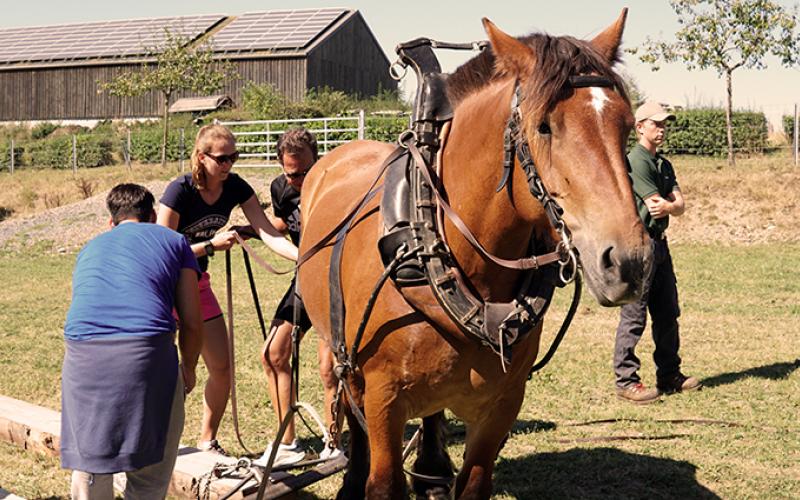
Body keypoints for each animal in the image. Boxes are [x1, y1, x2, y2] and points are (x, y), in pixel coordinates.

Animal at [296, 8, 652, 500]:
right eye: (544, 126)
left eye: (626, 126)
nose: (628, 262)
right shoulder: (384, 399)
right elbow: (383, 479)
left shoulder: (502, 404)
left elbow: (475, 480)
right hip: (341, 353)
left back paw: (431, 468)